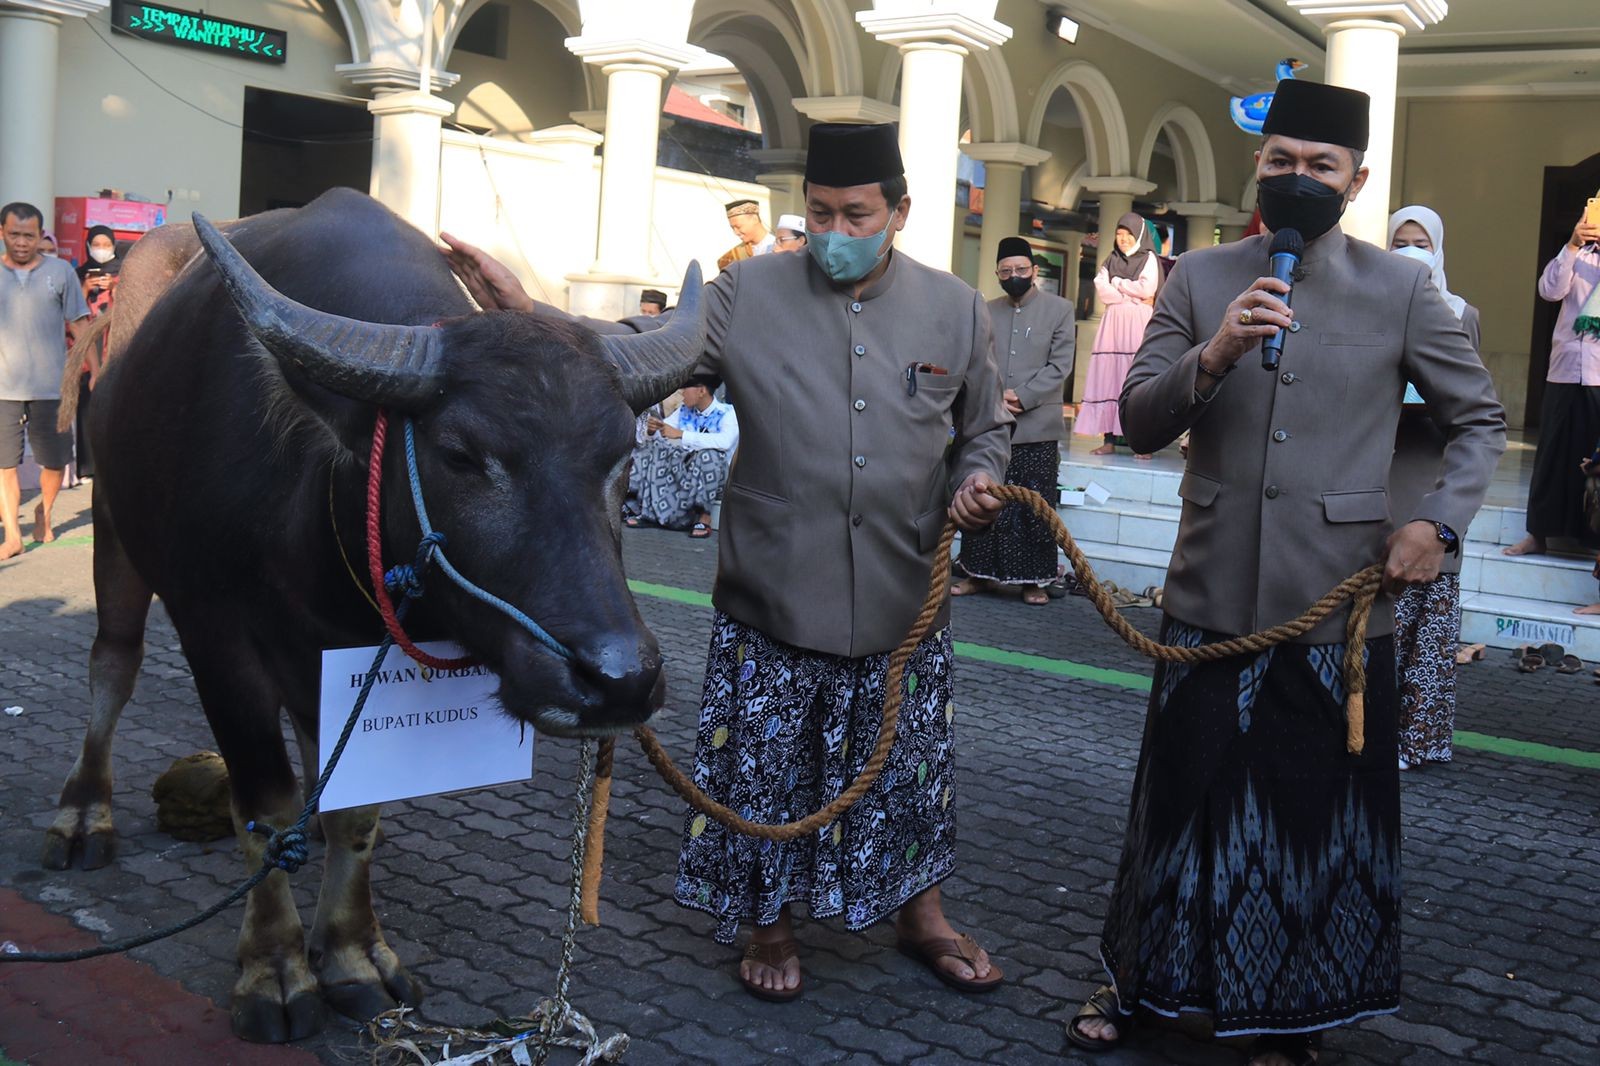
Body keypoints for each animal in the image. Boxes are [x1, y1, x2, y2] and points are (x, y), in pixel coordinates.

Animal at [42, 188, 700, 1037]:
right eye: (461, 455)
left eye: (624, 456)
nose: (619, 680)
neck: (321, 518)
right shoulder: (217, 636)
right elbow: (263, 802)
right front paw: (277, 969)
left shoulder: (356, 656)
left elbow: (360, 807)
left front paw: (352, 953)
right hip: (115, 528)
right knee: (113, 665)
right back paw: (83, 816)